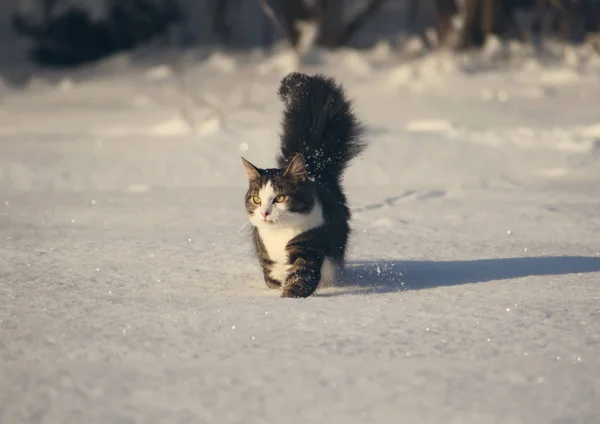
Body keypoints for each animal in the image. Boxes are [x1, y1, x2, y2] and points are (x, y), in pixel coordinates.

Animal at [240, 72, 364, 298]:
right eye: (257, 199)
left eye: (280, 197)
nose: (265, 213)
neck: (279, 235)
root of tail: (315, 166)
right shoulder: (266, 252)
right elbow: (272, 277)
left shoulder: (309, 245)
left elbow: (300, 278)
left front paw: (289, 299)